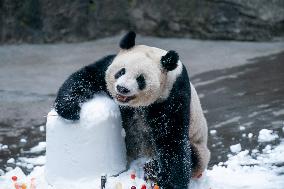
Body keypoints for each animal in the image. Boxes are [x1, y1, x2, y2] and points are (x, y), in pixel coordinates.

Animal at [54, 31, 210, 188]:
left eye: (140, 79)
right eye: (121, 72)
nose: (122, 88)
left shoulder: (172, 94)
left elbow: (171, 139)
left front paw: (170, 184)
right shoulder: (107, 66)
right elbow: (86, 76)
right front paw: (69, 108)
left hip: (199, 149)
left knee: (193, 156)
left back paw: (152, 168)